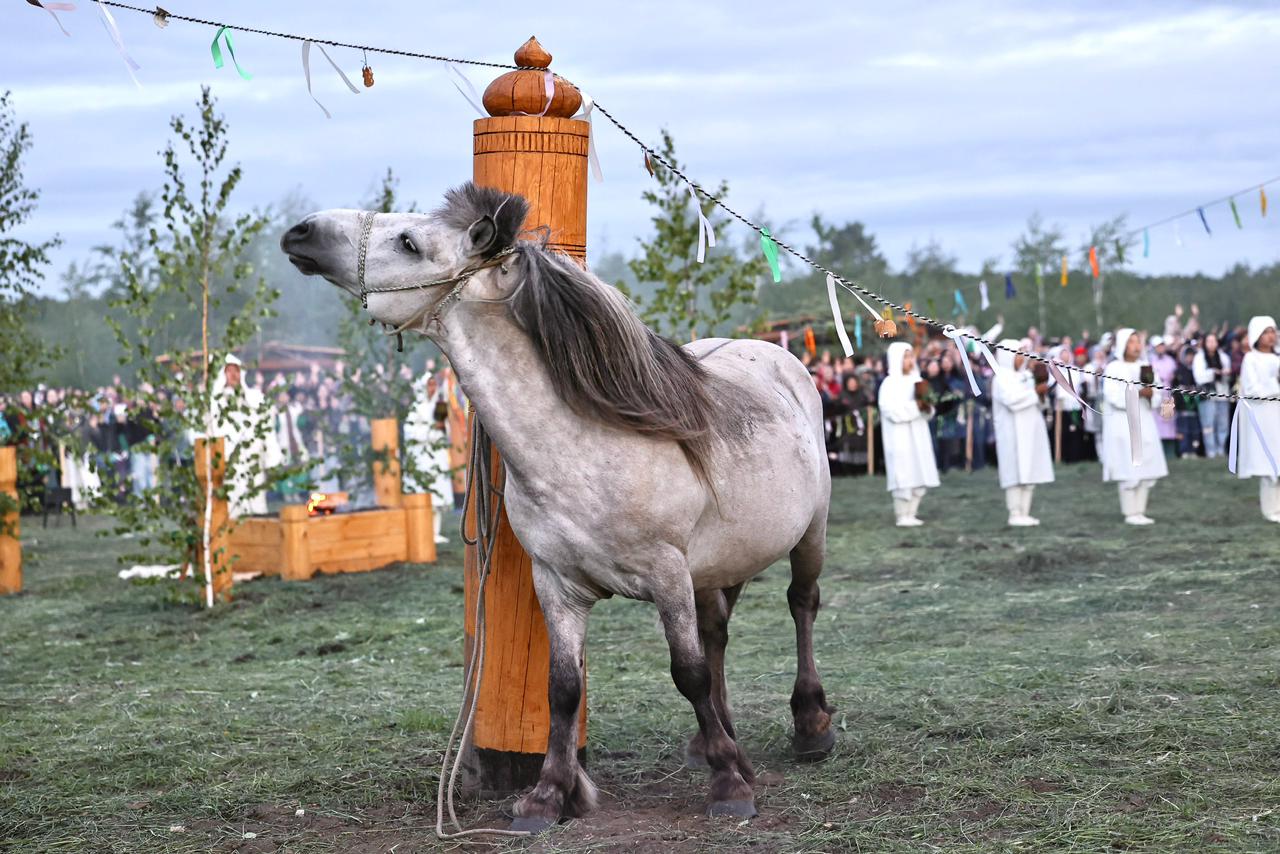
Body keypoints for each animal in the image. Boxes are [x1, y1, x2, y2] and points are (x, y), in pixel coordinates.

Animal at [281, 184, 834, 829]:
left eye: (409, 242)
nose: (301, 231)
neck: (583, 450)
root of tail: (775, 355)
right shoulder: (557, 583)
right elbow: (563, 687)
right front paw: (549, 794)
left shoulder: (668, 574)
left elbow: (687, 673)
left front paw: (729, 786)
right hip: (722, 562)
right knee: (717, 631)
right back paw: (714, 740)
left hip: (809, 534)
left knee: (800, 605)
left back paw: (811, 724)